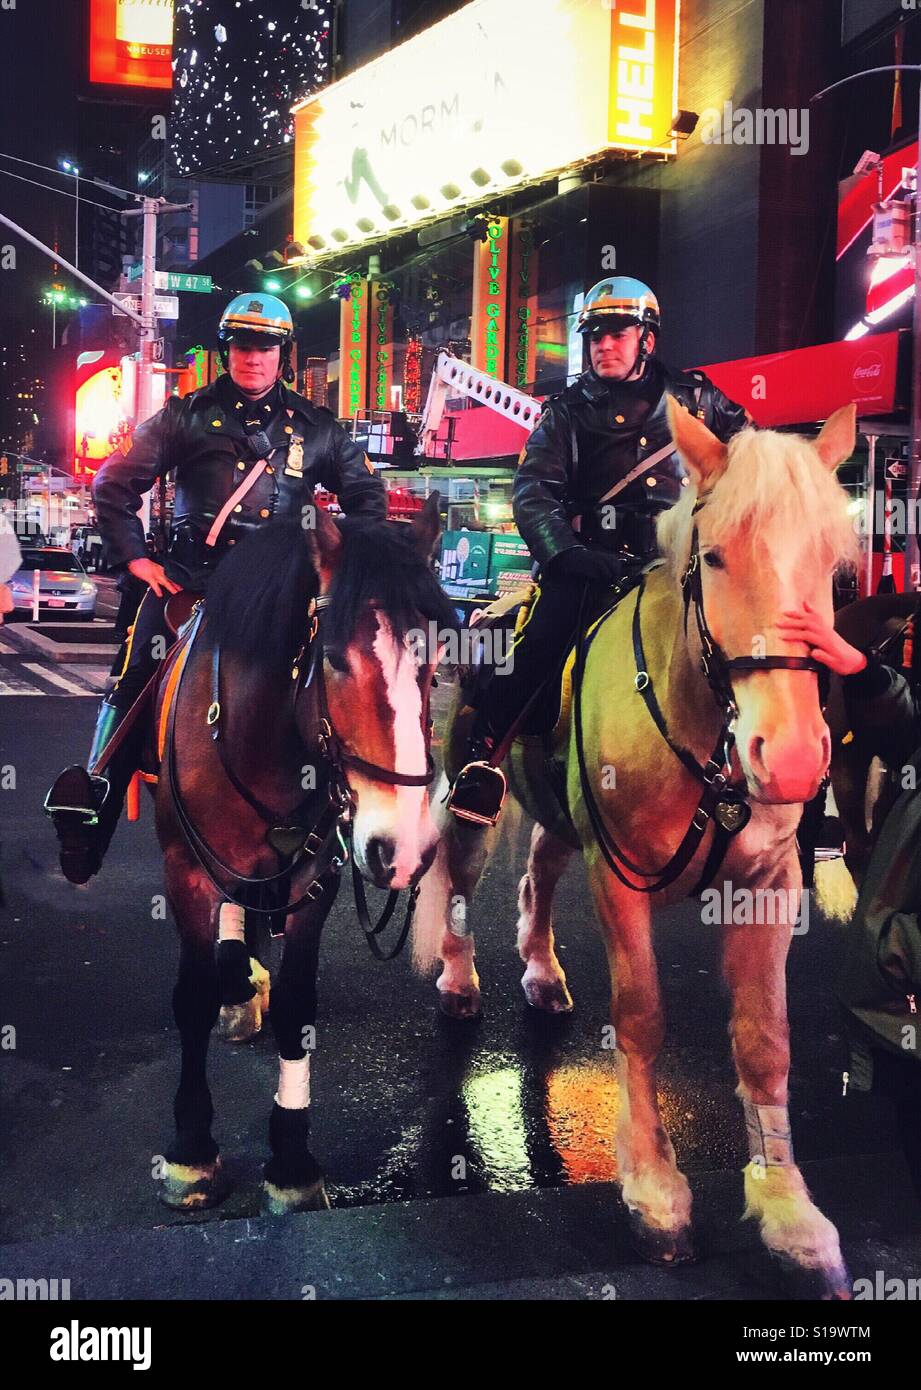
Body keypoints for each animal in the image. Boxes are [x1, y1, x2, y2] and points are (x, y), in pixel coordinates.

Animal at [416, 397, 866, 1295]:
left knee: (538, 876)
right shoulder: (619, 875)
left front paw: (788, 1213)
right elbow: (641, 1017)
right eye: (714, 556)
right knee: (462, 876)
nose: (789, 759)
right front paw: (656, 1192)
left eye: (836, 570)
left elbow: (765, 1040)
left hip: (563, 815)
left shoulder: (767, 885)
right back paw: (459, 977)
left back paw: (542, 971)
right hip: (477, 791)